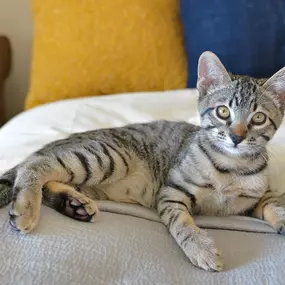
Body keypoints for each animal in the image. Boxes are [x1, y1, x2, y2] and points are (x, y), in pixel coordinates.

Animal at [0, 51, 284, 270]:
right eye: (223, 111)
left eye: (259, 118)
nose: (237, 137)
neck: (231, 167)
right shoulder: (171, 193)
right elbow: (182, 223)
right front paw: (200, 248)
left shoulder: (259, 196)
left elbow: (275, 203)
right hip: (108, 156)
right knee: (36, 165)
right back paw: (27, 207)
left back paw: (74, 204)